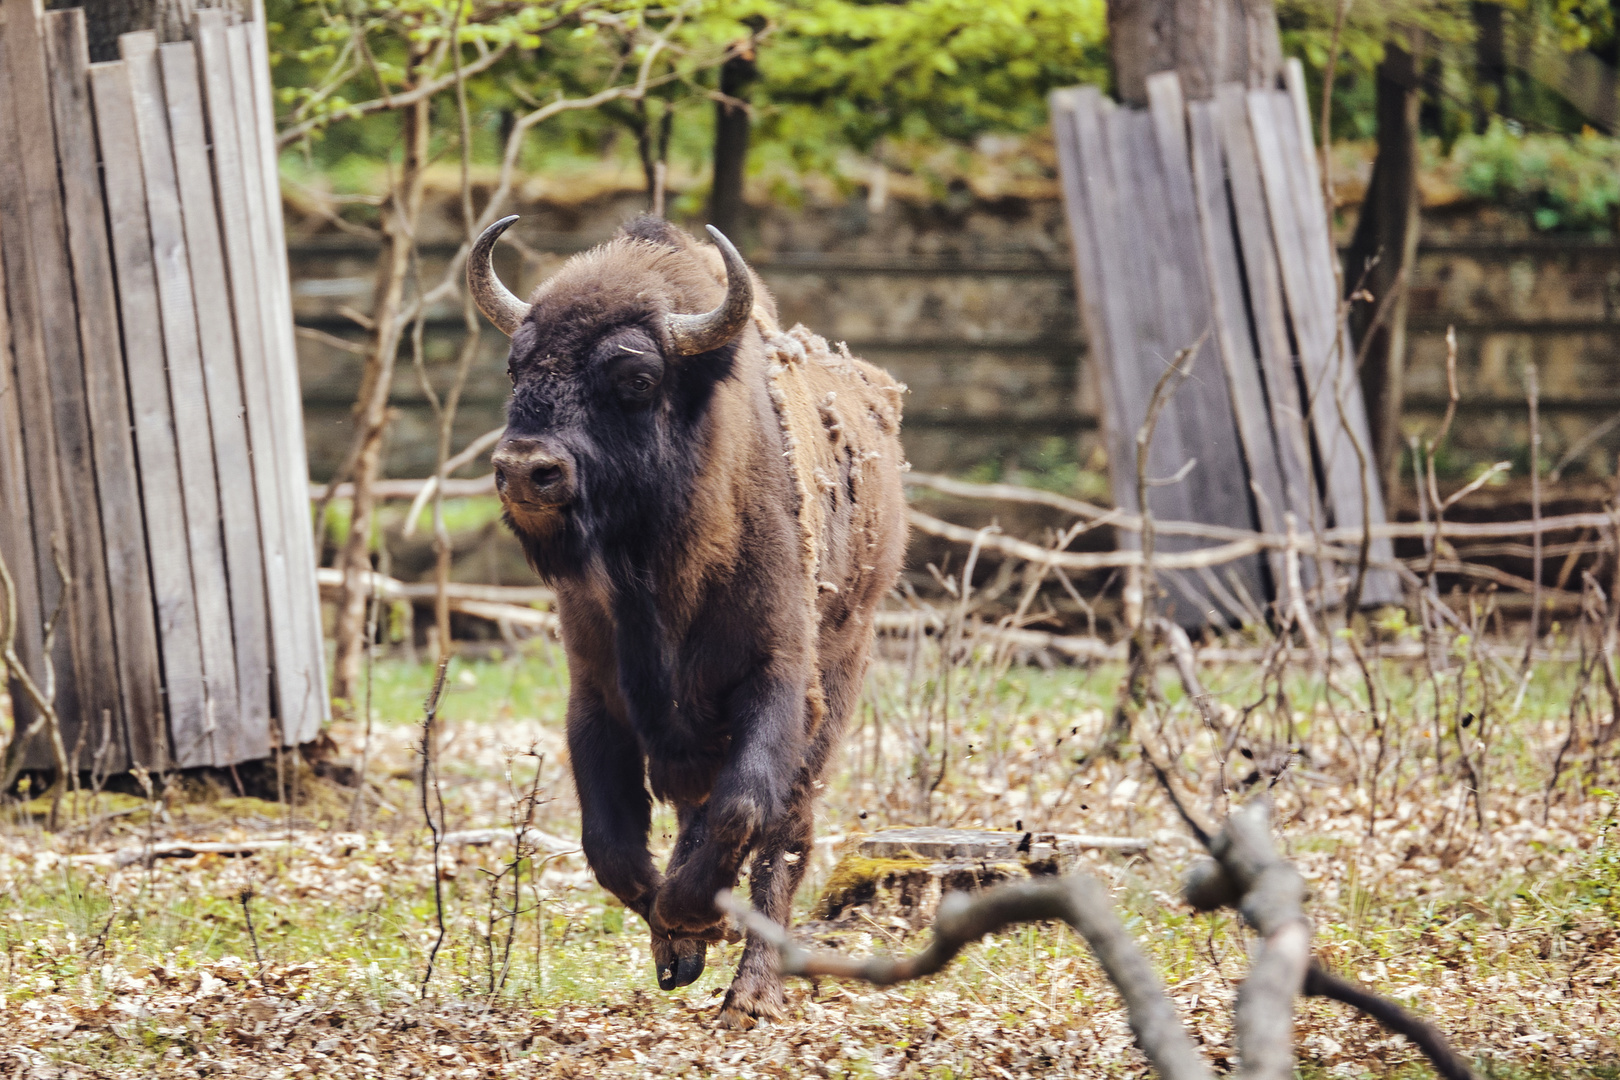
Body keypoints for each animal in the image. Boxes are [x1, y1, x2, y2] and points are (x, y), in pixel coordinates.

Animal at [466, 215, 913, 1029]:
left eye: (636, 380)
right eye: (517, 368)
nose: (524, 470)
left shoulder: (776, 685)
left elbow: (745, 808)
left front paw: (697, 919)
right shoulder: (598, 698)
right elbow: (609, 842)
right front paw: (676, 935)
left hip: (843, 669)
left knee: (788, 834)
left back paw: (752, 993)